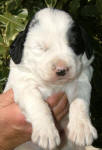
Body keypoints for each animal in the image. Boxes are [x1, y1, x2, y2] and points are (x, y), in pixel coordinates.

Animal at [4, 7, 97, 150]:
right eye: (41, 48)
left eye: (73, 45)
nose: (61, 70)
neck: (54, 85)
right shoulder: (25, 85)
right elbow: (38, 104)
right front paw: (46, 132)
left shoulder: (81, 79)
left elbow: (79, 102)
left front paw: (82, 128)